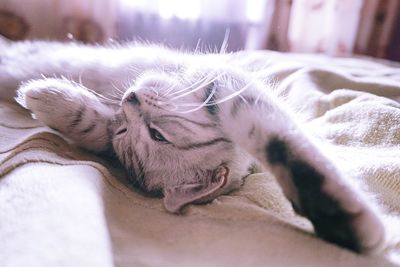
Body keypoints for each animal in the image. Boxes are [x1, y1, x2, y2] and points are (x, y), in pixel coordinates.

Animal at [0, 39, 388, 255]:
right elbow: (96, 129)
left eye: (157, 135)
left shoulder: (228, 86)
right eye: (126, 129)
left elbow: (273, 138)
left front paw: (337, 213)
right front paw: (47, 98)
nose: (130, 97)